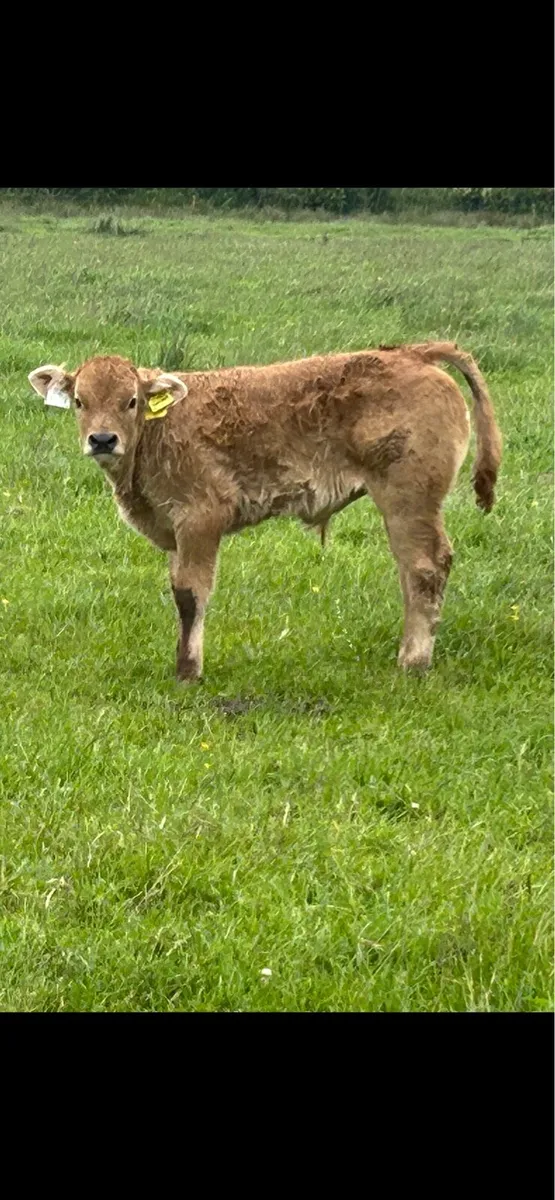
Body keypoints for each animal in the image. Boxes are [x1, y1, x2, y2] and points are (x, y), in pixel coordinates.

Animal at [28, 341, 502, 682]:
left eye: (131, 401)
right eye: (79, 401)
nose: (102, 440)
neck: (158, 432)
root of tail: (414, 353)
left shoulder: (201, 520)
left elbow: (191, 595)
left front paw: (189, 672)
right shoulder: (173, 531)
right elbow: (178, 592)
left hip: (408, 499)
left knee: (425, 568)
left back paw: (413, 662)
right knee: (410, 571)